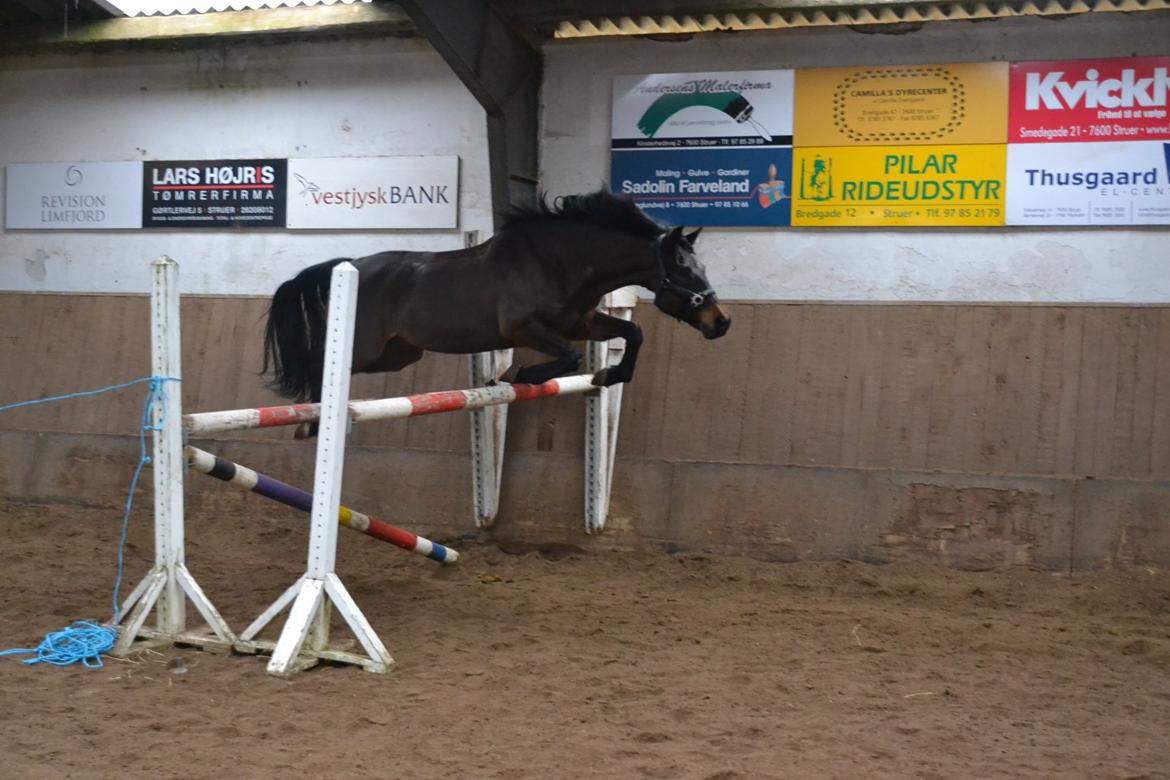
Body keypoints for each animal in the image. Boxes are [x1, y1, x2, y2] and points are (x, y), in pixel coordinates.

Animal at [261, 189, 731, 435]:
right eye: (684, 270)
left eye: (702, 268)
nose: (721, 322)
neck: (559, 262)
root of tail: (352, 264)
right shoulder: (523, 329)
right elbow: (567, 357)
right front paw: (515, 375)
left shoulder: (580, 322)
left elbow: (632, 336)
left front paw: (608, 375)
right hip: (365, 346)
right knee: (320, 365)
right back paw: (310, 423)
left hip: (396, 355)